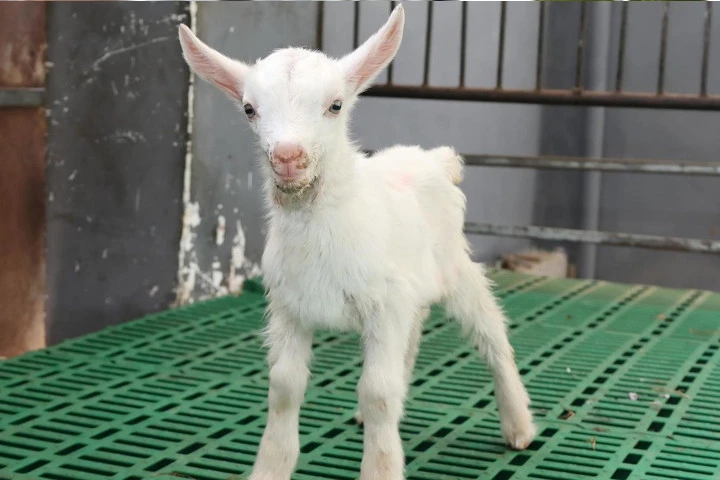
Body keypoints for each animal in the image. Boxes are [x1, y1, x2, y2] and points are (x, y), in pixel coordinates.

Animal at [178, 5, 536, 479]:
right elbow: (285, 386)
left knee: (492, 335)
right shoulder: (290, 308)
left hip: (456, 267)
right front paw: (271, 466)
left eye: (335, 105)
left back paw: (519, 425)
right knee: (414, 335)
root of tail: (434, 158)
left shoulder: (384, 305)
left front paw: (381, 467)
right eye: (250, 109)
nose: (288, 157)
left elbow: (377, 390)